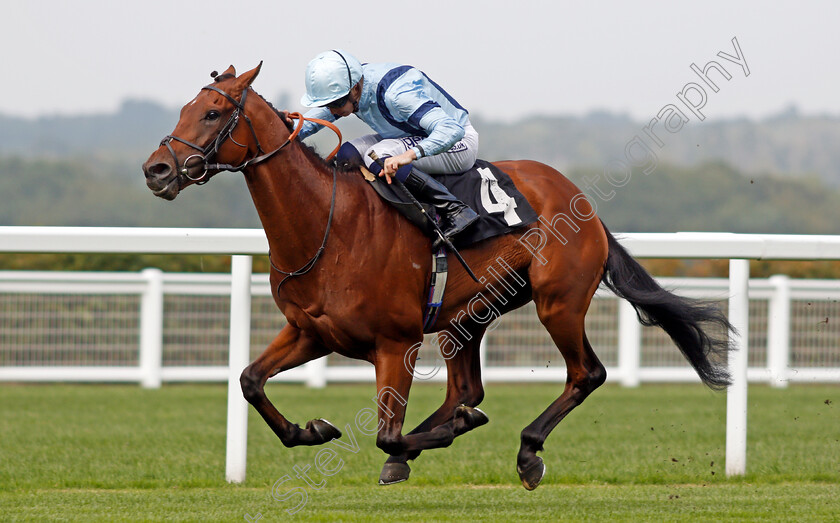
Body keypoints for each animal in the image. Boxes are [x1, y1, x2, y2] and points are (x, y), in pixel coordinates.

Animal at [141, 65, 732, 492]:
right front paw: (311, 429)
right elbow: (249, 380)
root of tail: (580, 200)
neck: (328, 226)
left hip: (557, 302)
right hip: (464, 317)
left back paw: (526, 450)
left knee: (586, 373)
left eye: (214, 112)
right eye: (185, 108)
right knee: (466, 389)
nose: (157, 170)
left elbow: (386, 434)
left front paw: (433, 438)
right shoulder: (311, 331)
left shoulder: (395, 342)